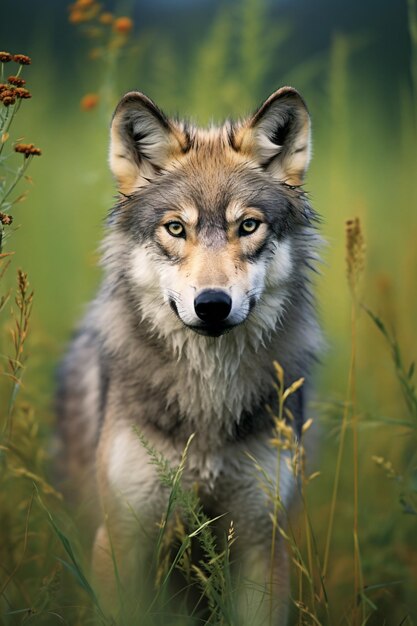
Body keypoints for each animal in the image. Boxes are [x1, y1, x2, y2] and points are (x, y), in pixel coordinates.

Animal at [56, 85, 322, 620]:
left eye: (248, 226)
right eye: (176, 228)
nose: (213, 304)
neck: (209, 398)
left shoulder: (262, 542)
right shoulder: (121, 539)